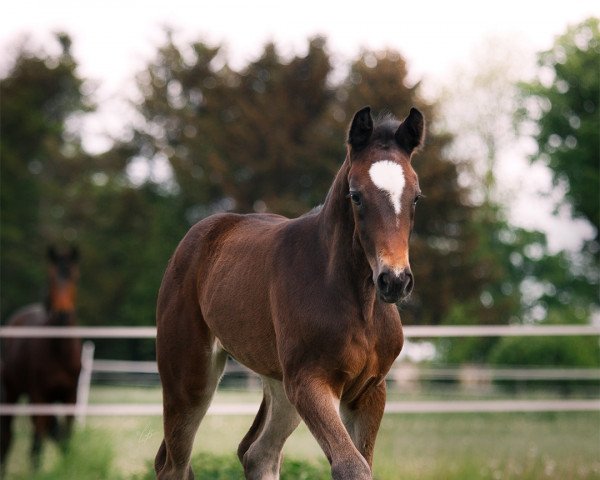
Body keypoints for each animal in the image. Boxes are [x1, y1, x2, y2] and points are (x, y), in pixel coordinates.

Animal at [0, 246, 81, 470]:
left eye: (74, 276)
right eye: (51, 277)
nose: (62, 315)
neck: (59, 352)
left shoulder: (70, 396)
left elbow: (66, 438)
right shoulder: (39, 395)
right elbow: (38, 442)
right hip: (13, 392)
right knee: (10, 436)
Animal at [155, 106, 426, 480]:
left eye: (415, 196)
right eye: (356, 195)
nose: (395, 280)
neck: (357, 302)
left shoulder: (370, 390)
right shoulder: (309, 382)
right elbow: (351, 466)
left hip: (278, 384)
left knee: (257, 453)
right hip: (189, 377)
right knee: (175, 465)